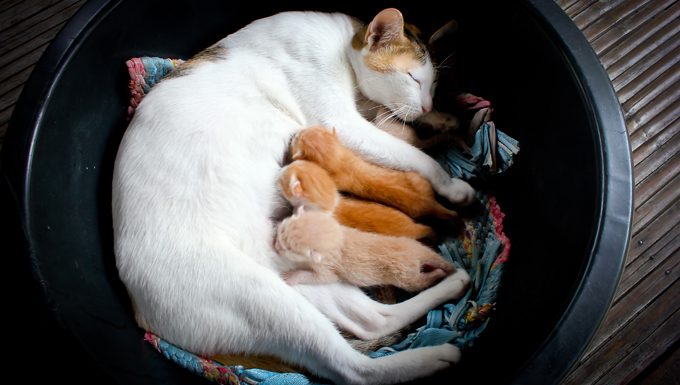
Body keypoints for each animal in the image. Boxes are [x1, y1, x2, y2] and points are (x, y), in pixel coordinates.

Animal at [272, 207, 456, 292]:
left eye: (288, 248)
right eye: (282, 231)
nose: (275, 246)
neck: (340, 238)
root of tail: (416, 253)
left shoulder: (326, 264)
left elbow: (326, 278)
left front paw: (293, 276)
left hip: (406, 276)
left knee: (418, 282)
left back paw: (438, 273)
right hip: (411, 243)